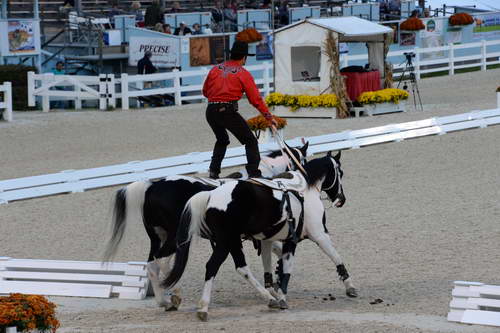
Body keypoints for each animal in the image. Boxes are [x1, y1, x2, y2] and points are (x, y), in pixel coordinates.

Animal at [102, 141, 308, 310]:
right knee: (163, 261)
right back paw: (175, 294)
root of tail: (151, 187)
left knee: (153, 265)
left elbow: (277, 251)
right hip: (175, 238)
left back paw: (165, 301)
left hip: (158, 238)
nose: (304, 176)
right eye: (302, 159)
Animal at [162, 151, 358, 320]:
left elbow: (271, 269)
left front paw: (276, 292)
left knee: (241, 268)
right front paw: (350, 287)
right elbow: (334, 258)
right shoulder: (316, 235)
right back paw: (203, 307)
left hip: (231, 242)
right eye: (340, 172)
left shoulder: (269, 241)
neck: (304, 191)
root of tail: (210, 194)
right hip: (226, 243)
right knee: (211, 267)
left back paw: (268, 299)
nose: (341, 199)